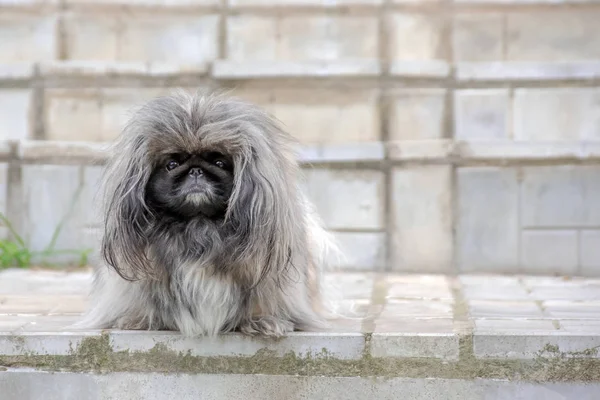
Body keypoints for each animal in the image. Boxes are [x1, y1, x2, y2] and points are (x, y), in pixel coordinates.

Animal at [75, 90, 338, 338]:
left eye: (220, 163)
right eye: (171, 165)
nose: (195, 171)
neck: (198, 225)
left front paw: (263, 321)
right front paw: (138, 319)